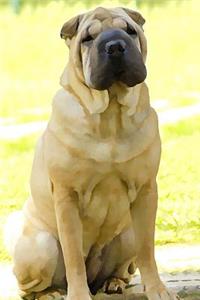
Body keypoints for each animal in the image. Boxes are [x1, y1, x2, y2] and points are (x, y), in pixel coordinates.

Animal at [6, 6, 179, 300]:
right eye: (88, 38)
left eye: (130, 30)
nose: (115, 46)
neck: (111, 115)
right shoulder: (67, 197)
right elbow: (73, 255)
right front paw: (78, 294)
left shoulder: (146, 191)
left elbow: (147, 249)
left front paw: (157, 290)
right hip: (39, 248)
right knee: (29, 287)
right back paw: (50, 293)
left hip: (127, 234)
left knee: (126, 263)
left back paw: (114, 282)